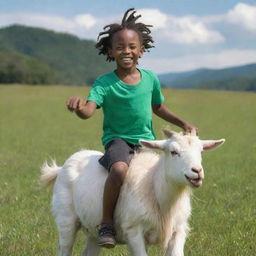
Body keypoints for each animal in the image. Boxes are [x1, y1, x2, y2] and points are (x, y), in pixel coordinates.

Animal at [40, 130, 224, 256]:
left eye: (200, 152)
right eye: (173, 152)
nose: (197, 172)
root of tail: (62, 167)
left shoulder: (178, 230)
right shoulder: (133, 230)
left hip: (92, 229)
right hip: (66, 219)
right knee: (64, 248)